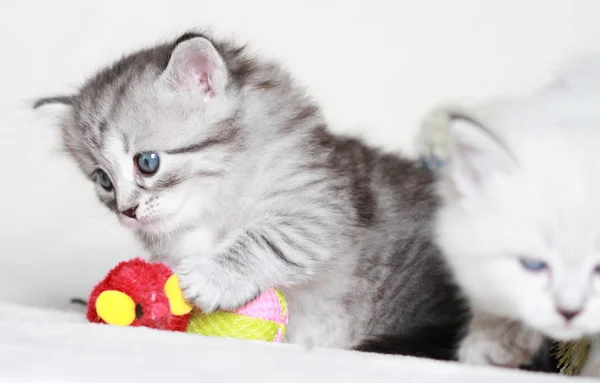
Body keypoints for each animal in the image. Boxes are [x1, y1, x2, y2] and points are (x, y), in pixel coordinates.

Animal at [35, 31, 468, 352]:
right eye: (103, 180)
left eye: (147, 162)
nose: (127, 211)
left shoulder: (319, 211)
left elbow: (264, 239)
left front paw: (210, 277)